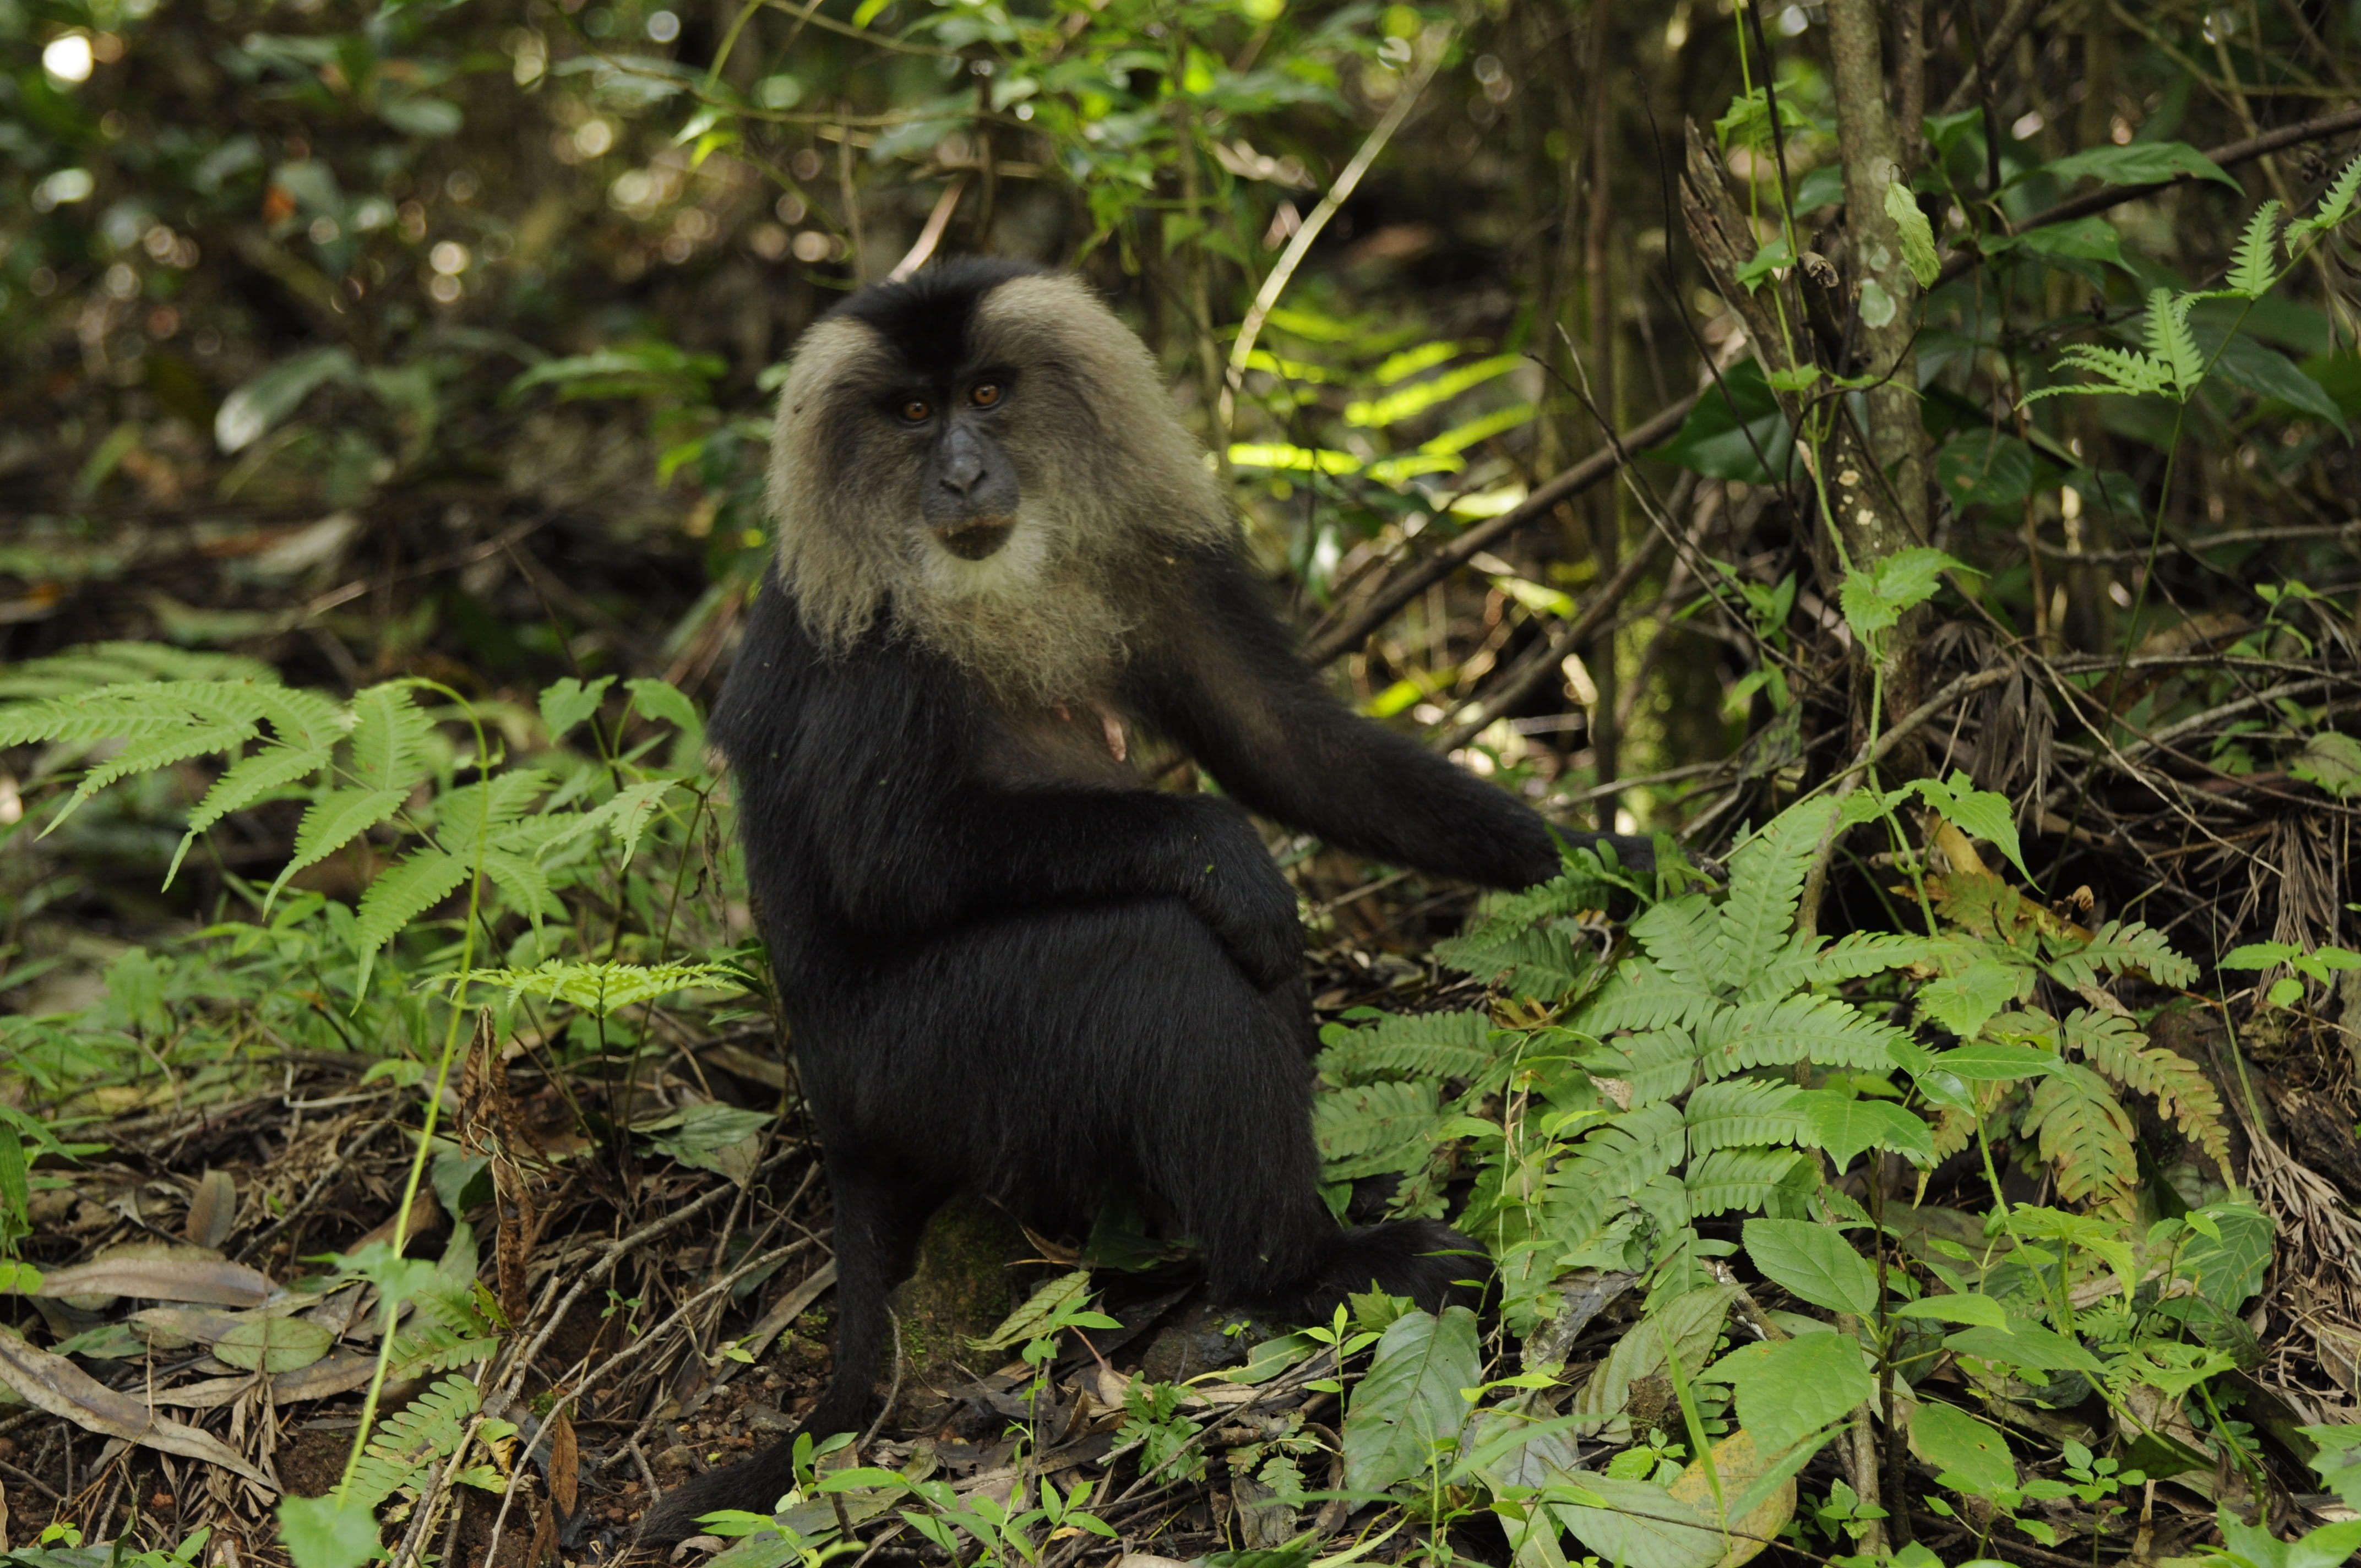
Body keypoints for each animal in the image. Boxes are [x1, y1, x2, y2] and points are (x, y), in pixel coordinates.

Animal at [640, 258, 1654, 1540]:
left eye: (984, 393)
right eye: (912, 415)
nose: (958, 473)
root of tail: (834, 1117)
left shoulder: (1140, 559)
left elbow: (1286, 745)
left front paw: (1609, 857)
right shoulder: (865, 633)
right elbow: (890, 860)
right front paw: (1224, 851)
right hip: (924, 1066)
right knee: (1160, 952)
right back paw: (1299, 1267)